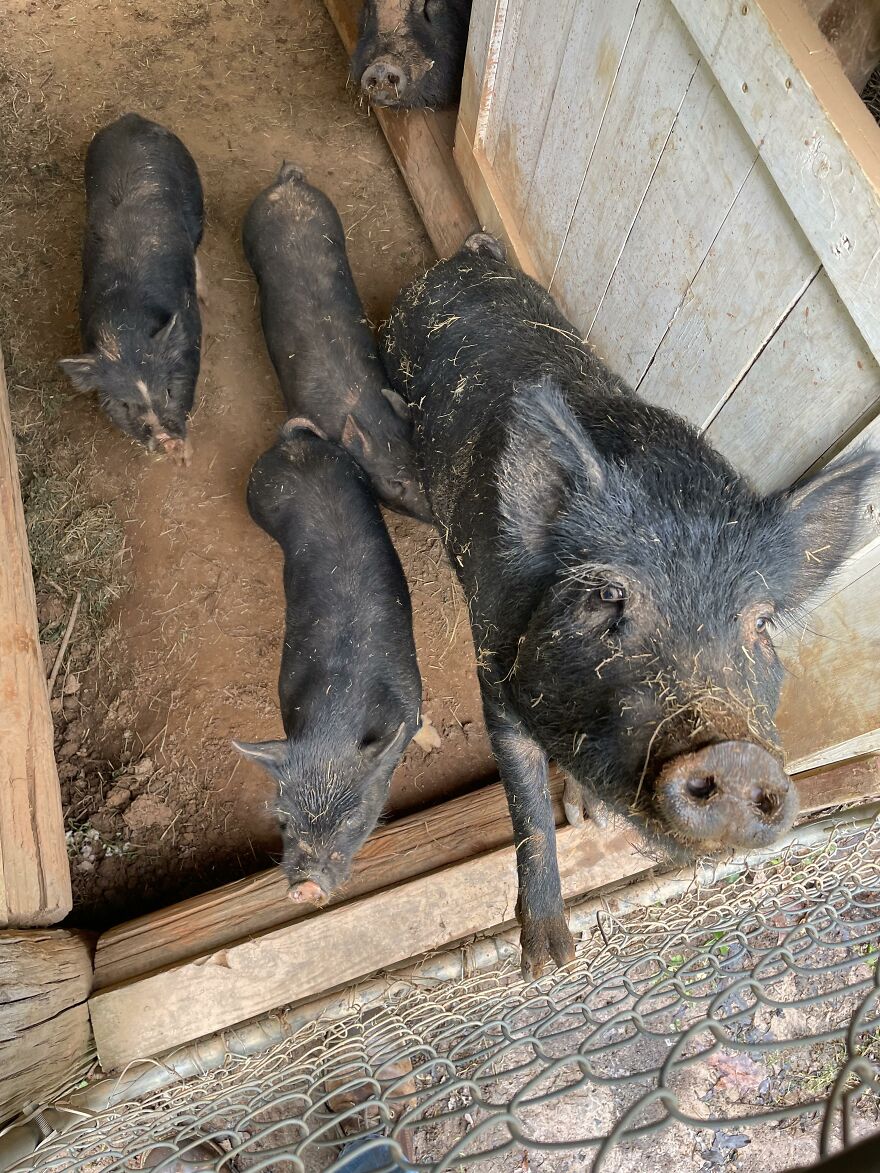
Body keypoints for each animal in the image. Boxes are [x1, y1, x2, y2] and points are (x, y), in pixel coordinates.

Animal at [59, 113, 204, 464]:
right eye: (126, 404)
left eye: (168, 390)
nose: (166, 440)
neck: (126, 323)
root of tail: (132, 119)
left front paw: (185, 458)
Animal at [380, 231, 877, 979]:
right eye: (609, 594)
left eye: (761, 622)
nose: (738, 756)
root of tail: (463, 259)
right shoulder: (492, 665)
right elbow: (525, 801)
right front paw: (549, 963)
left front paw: (586, 814)